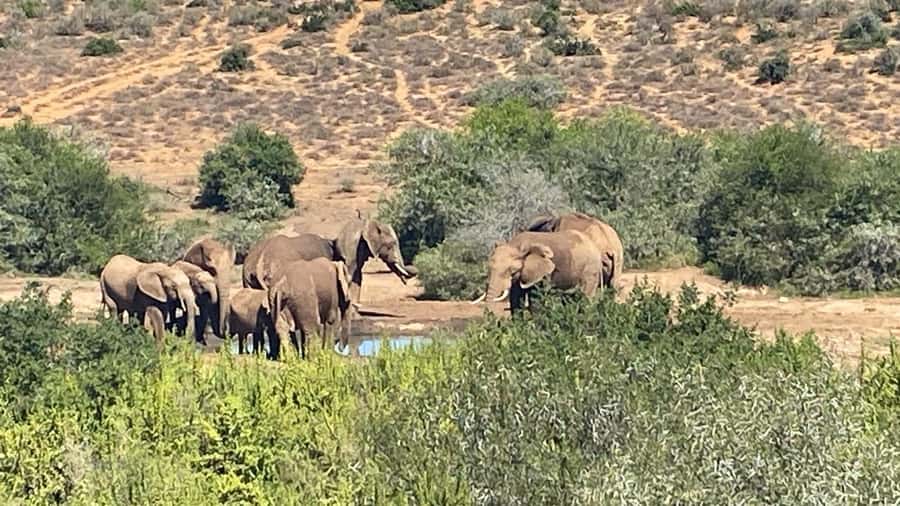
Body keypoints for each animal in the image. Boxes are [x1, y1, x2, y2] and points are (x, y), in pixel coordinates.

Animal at [472, 230, 603, 313]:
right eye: (489, 267)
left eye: (512, 271)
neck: (516, 245)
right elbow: (515, 299)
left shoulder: (543, 274)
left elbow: (535, 298)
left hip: (591, 269)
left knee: (587, 297)